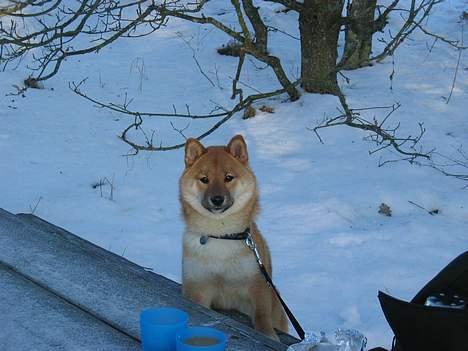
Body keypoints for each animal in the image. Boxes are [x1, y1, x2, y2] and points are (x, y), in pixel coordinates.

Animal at [180, 135, 288, 340]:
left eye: (228, 178)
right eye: (204, 179)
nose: (217, 199)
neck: (222, 237)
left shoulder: (257, 284)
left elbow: (262, 315)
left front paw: (268, 335)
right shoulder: (198, 287)